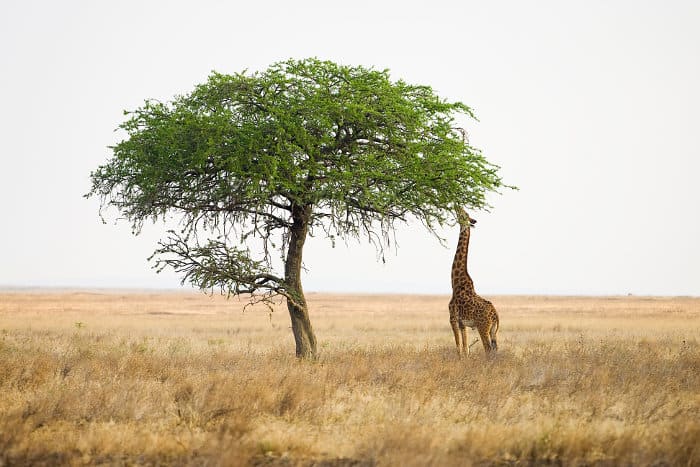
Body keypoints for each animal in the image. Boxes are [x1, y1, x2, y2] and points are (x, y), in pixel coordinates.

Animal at [448, 207, 498, 356]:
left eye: (464, 214)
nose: (457, 206)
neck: (455, 282)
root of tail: (496, 315)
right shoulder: (462, 323)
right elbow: (465, 348)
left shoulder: (452, 318)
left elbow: (458, 347)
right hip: (493, 330)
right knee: (495, 349)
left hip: (483, 327)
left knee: (488, 349)